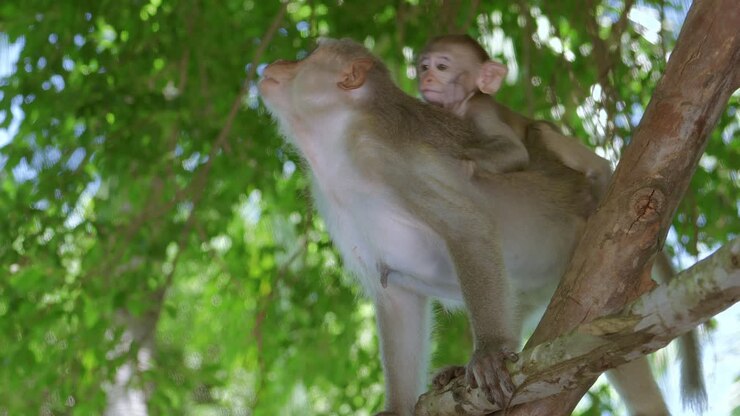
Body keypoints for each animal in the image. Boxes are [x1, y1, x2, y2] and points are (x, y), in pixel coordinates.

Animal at [418, 34, 613, 205]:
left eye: (442, 67)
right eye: (424, 67)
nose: (426, 79)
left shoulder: (481, 109)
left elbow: (515, 151)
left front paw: (466, 163)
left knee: (541, 132)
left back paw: (601, 172)